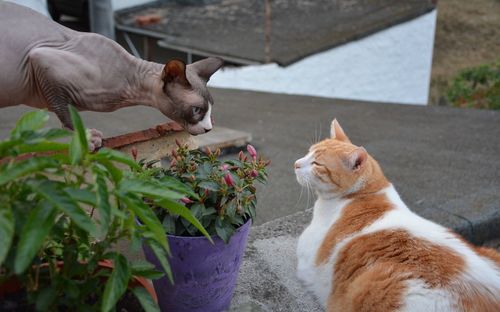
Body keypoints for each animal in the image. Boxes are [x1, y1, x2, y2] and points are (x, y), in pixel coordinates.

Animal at [0, 1, 223, 149]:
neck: (130, 79)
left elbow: (65, 112)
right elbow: (64, 111)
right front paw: (87, 138)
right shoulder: (42, 58)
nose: (209, 129)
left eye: (210, 109)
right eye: (197, 110)